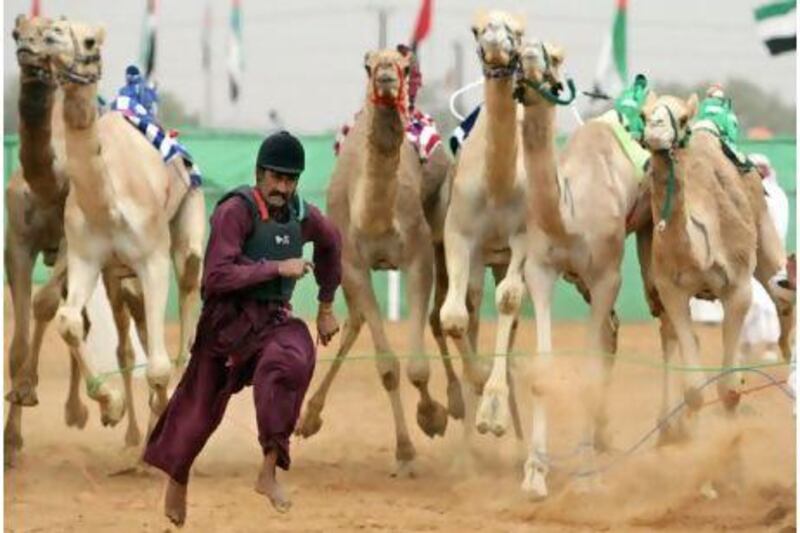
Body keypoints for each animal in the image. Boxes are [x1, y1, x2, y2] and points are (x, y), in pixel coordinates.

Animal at [41, 20, 205, 434]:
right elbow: (68, 321)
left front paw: (159, 416)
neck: (108, 205)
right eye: (56, 26)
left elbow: (159, 365)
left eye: (89, 41)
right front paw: (110, 405)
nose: (48, 36)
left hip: (188, 221)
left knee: (190, 283)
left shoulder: (153, 256)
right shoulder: (85, 257)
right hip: (117, 275)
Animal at [296, 48, 460, 474]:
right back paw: (309, 417)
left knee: (441, 316)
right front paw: (404, 451)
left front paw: (432, 417)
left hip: (442, 230)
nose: (386, 77)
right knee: (354, 322)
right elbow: (387, 367)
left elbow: (417, 365)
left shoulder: (418, 256)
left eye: (404, 66)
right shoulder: (353, 265)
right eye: (368, 66)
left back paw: (458, 399)